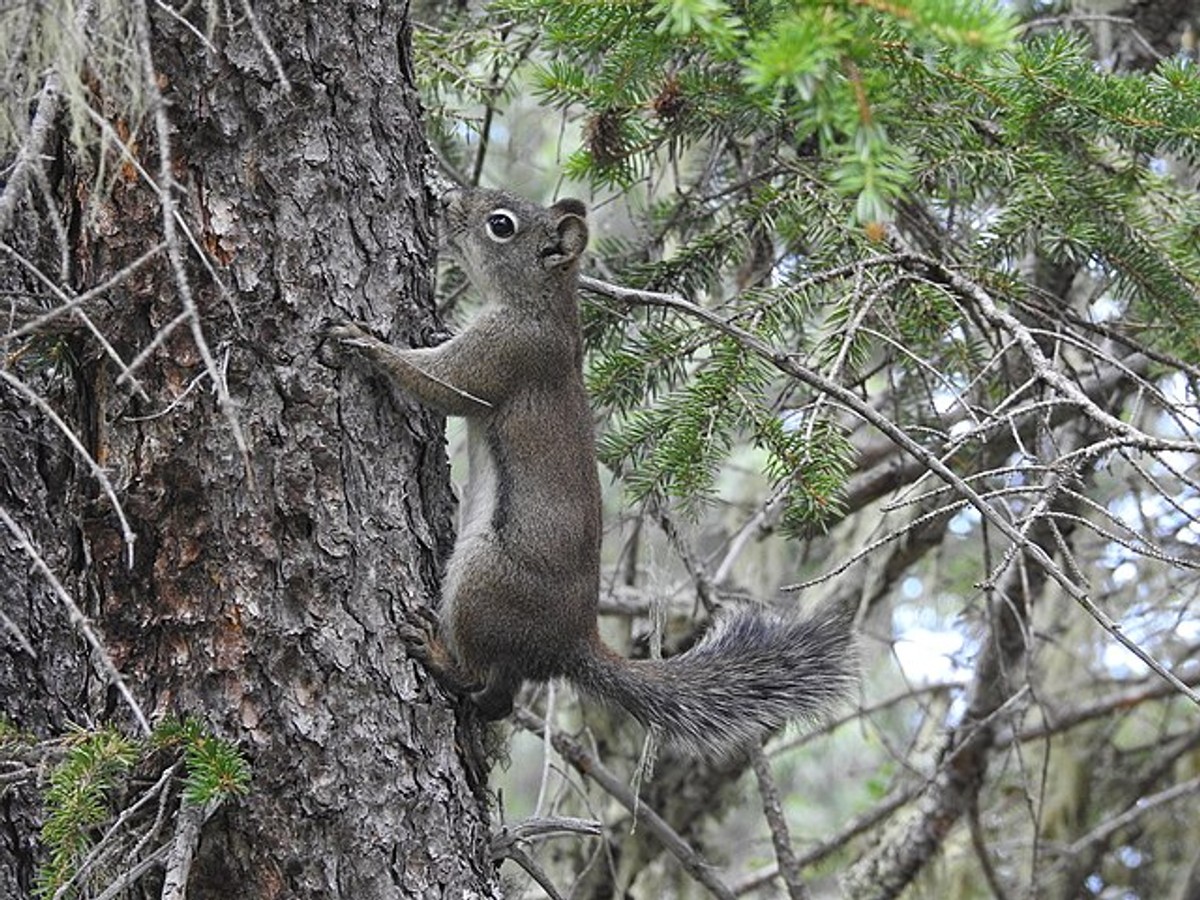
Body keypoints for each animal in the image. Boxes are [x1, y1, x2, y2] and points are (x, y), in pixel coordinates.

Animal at [328, 187, 857, 758]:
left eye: (501, 225)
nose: (443, 198)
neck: (544, 305)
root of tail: (569, 644)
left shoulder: (507, 353)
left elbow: (439, 382)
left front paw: (365, 343)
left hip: (481, 578)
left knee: (491, 686)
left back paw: (435, 653)